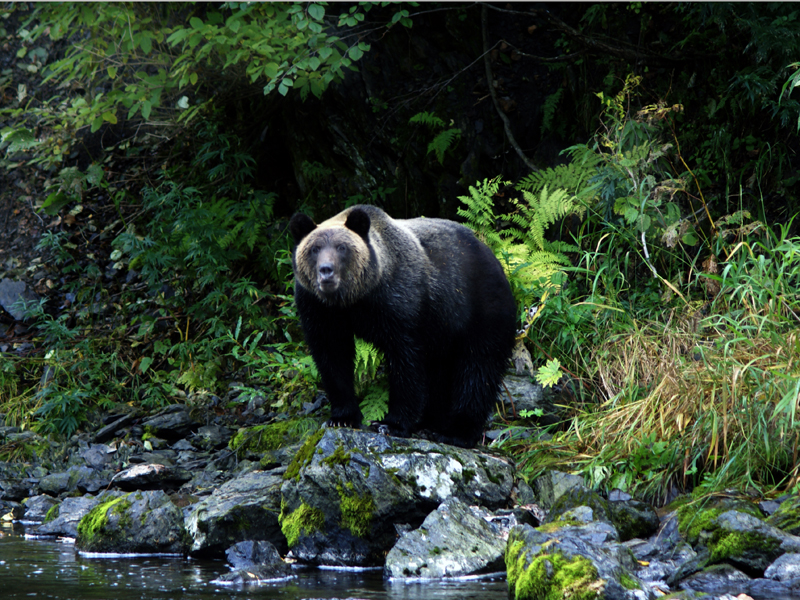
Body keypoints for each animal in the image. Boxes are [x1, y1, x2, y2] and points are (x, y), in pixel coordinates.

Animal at [290, 205, 516, 446]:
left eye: (342, 247)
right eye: (314, 249)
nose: (326, 271)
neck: (354, 299)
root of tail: (494, 256)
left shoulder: (400, 306)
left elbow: (405, 363)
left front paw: (390, 424)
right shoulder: (319, 310)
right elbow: (332, 356)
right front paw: (343, 417)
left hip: (479, 310)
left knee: (478, 369)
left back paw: (456, 431)